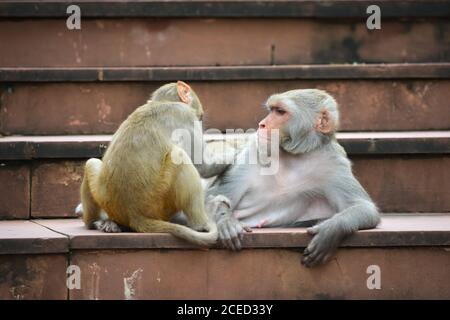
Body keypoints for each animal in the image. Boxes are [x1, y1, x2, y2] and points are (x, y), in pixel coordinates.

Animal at [78, 81, 230, 246]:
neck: (163, 102)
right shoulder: (185, 116)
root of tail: (134, 214)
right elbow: (203, 166)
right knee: (179, 155)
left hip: (107, 198)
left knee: (91, 163)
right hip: (159, 202)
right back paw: (201, 223)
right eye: (199, 118)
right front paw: (231, 155)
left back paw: (96, 222)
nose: (201, 120)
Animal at [207, 88, 380, 268]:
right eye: (272, 110)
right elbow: (214, 196)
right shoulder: (254, 150)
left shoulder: (334, 163)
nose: (262, 124)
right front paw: (226, 221)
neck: (293, 156)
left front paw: (330, 230)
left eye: (280, 111)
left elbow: (364, 207)